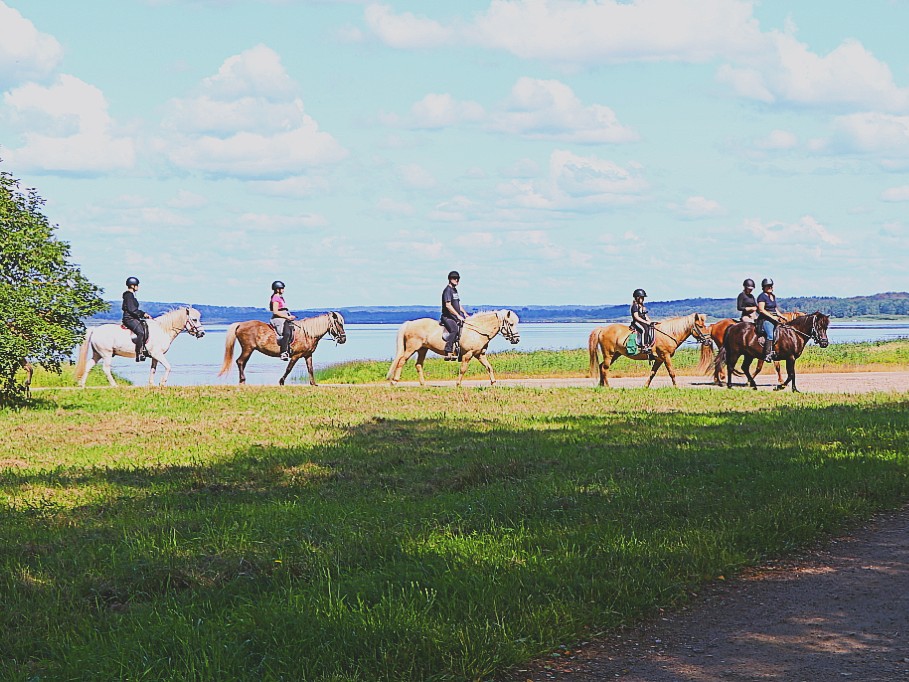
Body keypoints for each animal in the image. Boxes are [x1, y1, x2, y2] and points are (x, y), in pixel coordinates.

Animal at [73, 306, 205, 386]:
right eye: (194, 319)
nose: (202, 333)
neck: (163, 330)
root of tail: (95, 330)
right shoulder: (158, 354)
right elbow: (168, 367)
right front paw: (162, 383)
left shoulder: (154, 356)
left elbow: (153, 369)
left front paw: (151, 384)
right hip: (106, 354)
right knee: (105, 368)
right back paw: (114, 385)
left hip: (98, 354)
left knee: (88, 366)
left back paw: (82, 384)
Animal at [218, 310, 346, 386]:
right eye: (339, 323)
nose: (343, 339)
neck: (307, 333)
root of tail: (240, 324)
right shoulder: (296, 355)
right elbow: (289, 368)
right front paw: (281, 382)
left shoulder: (308, 355)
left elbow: (310, 368)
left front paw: (313, 383)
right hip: (247, 348)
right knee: (240, 362)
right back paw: (243, 381)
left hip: (248, 349)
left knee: (242, 363)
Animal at [386, 306, 520, 386]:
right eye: (511, 324)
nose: (517, 339)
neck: (477, 331)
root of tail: (409, 323)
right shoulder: (468, 354)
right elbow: (463, 369)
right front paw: (458, 384)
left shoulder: (479, 354)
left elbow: (489, 367)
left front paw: (493, 383)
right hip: (411, 348)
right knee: (401, 361)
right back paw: (395, 381)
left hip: (422, 349)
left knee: (418, 365)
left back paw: (423, 384)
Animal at [584, 312, 712, 386]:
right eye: (700, 326)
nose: (708, 341)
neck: (669, 333)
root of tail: (602, 329)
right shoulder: (665, 356)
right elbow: (672, 372)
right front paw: (676, 387)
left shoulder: (659, 359)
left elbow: (652, 373)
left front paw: (645, 387)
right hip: (609, 354)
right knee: (604, 368)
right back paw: (608, 386)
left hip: (615, 354)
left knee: (601, 366)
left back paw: (601, 386)